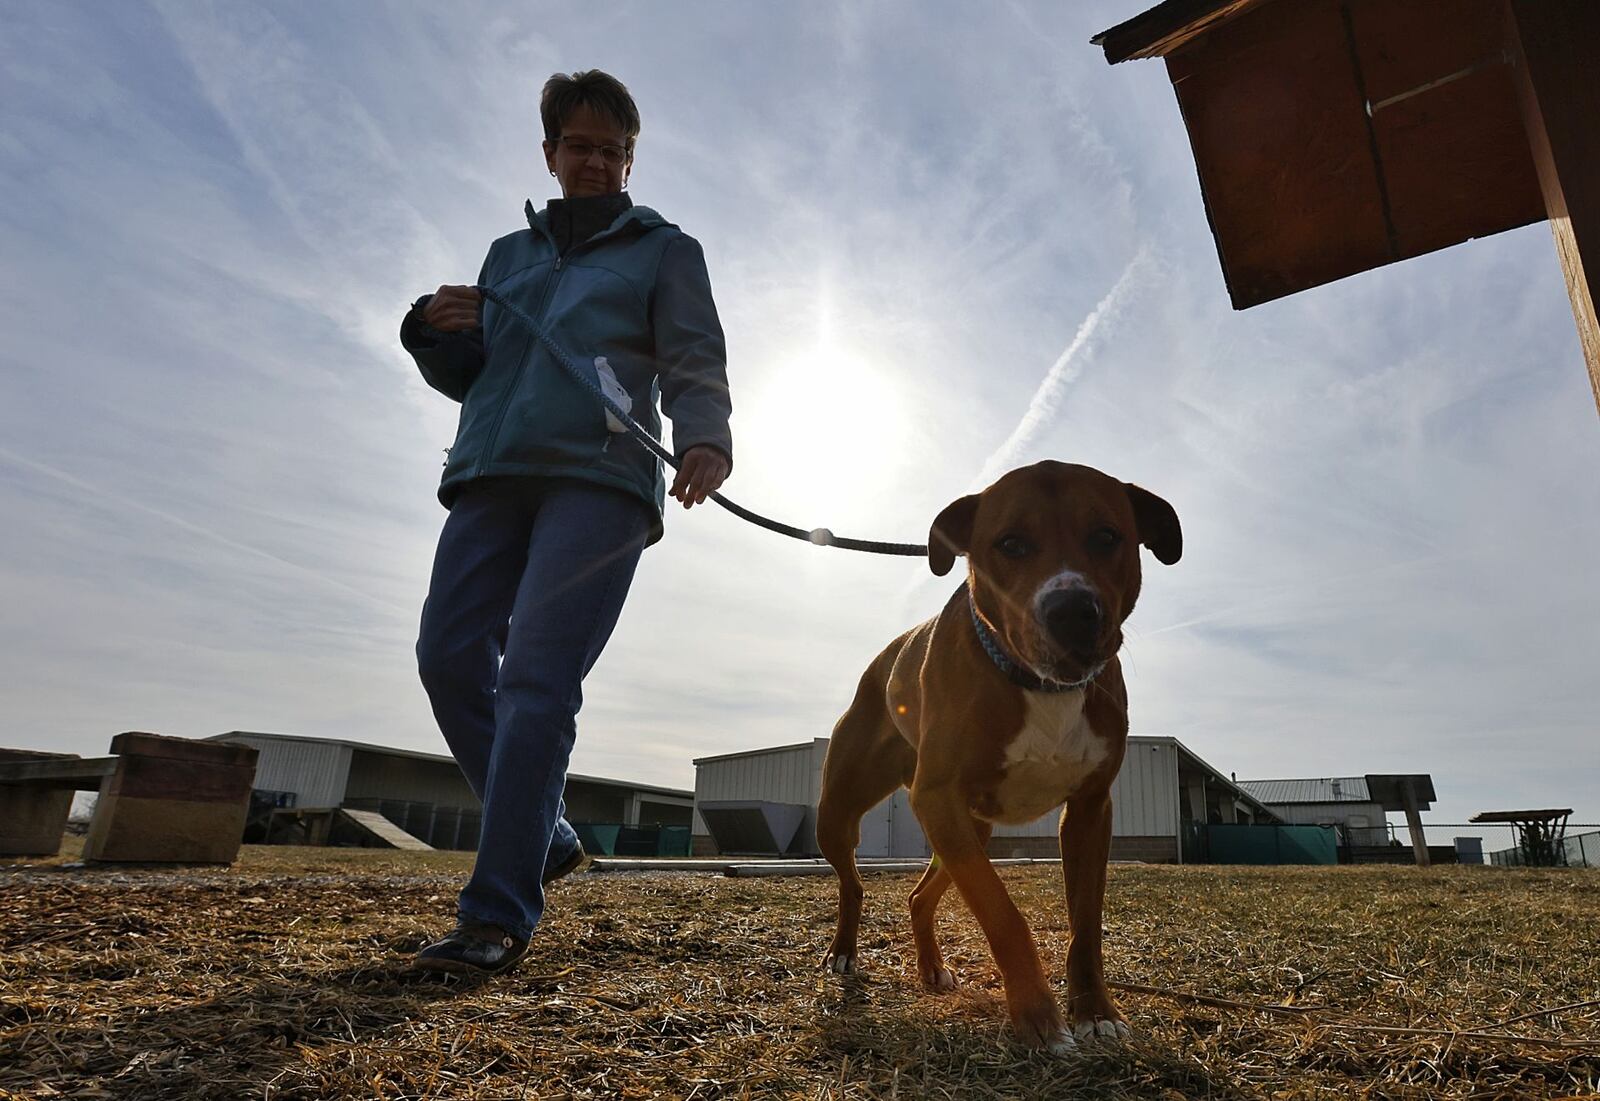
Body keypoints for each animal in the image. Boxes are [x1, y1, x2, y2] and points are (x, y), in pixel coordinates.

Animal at [819, 460, 1184, 1056]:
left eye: (1107, 536)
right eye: (1010, 543)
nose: (1073, 611)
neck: (1040, 685)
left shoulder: (1090, 810)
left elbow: (1086, 923)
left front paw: (1095, 1011)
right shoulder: (938, 797)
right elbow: (1003, 914)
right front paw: (1037, 1016)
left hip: (969, 830)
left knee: (920, 897)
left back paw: (931, 967)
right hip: (844, 810)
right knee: (853, 881)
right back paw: (845, 951)